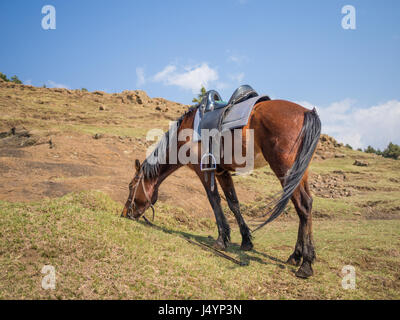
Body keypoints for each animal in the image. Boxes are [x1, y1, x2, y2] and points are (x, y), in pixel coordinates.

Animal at [122, 100, 322, 278]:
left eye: (131, 186)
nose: (125, 213)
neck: (185, 134)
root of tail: (306, 112)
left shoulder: (204, 170)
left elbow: (214, 200)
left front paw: (221, 240)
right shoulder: (222, 172)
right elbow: (233, 203)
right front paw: (245, 240)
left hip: (285, 170)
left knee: (303, 205)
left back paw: (305, 264)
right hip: (300, 172)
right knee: (306, 205)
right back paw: (296, 256)